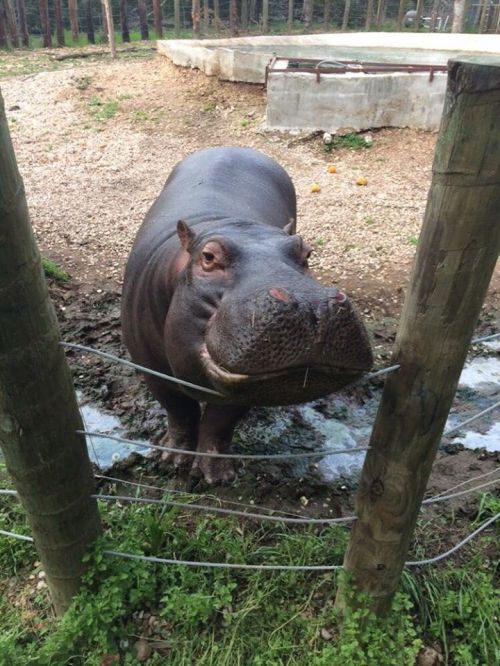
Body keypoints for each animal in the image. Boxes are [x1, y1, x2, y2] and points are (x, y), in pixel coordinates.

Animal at [122, 147, 373, 484]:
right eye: (208, 257)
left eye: (306, 252)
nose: (313, 305)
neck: (229, 224)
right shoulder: (151, 370)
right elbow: (179, 412)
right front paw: (172, 459)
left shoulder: (249, 385)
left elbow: (220, 422)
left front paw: (218, 475)